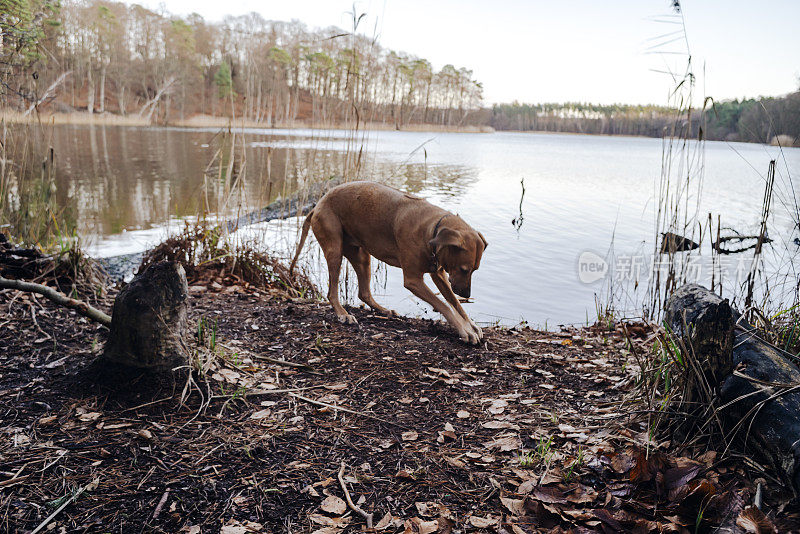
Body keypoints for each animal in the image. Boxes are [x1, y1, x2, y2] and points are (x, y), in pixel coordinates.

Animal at [290, 182, 488, 346]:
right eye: (464, 269)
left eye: (474, 270)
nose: (467, 294)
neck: (432, 229)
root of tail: (317, 205)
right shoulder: (413, 281)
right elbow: (444, 305)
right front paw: (464, 330)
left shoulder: (439, 274)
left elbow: (456, 303)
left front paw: (470, 325)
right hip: (335, 251)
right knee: (332, 293)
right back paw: (342, 314)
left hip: (362, 256)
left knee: (364, 293)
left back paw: (383, 310)